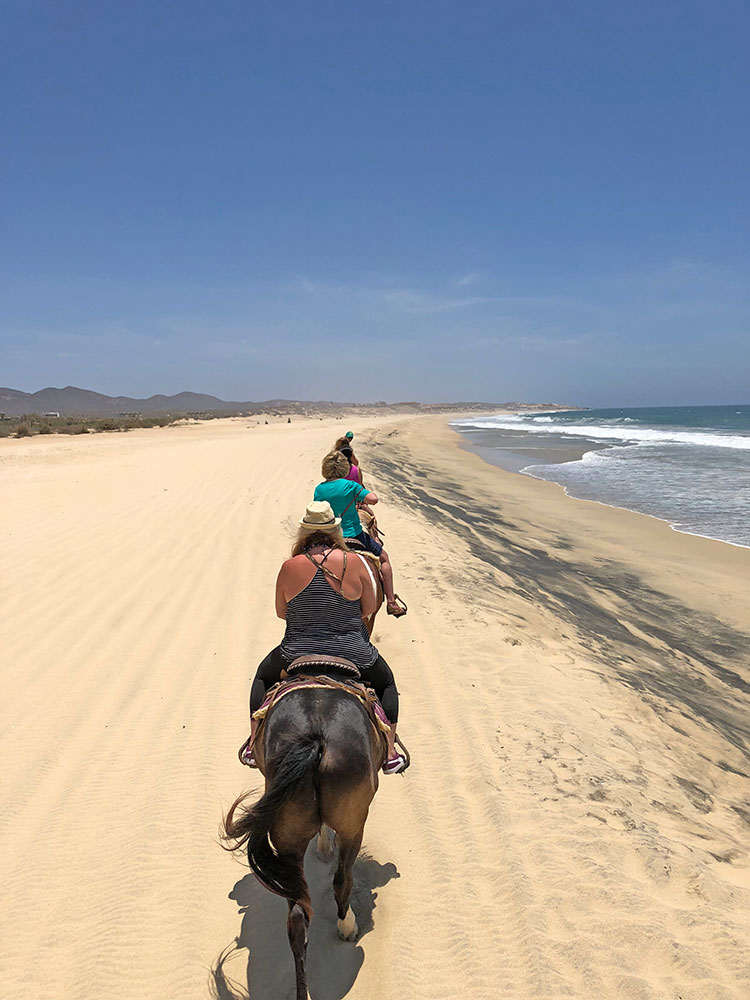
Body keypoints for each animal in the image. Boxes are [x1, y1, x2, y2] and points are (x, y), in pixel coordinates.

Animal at [223, 680, 388, 1000]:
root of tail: (316, 736)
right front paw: (325, 850)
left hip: (288, 833)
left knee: (297, 917)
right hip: (353, 824)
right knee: (341, 881)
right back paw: (348, 927)